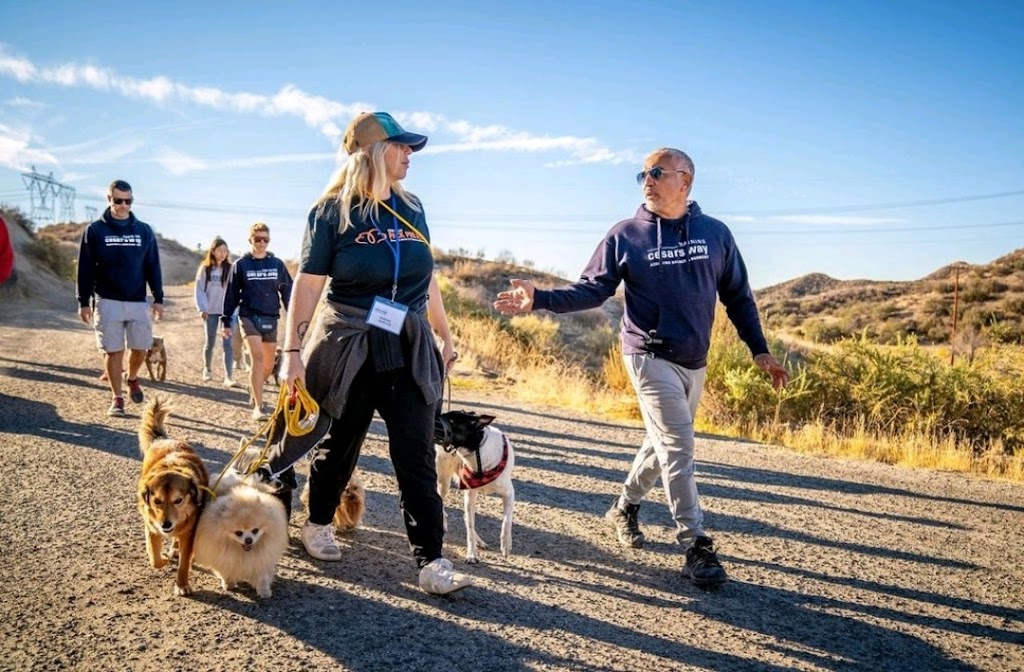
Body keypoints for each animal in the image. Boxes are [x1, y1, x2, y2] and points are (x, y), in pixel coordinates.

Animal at [137, 395, 208, 594]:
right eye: (157, 501)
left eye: (178, 500)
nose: (166, 524)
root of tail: (162, 439)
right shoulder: (151, 526)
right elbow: (154, 558)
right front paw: (163, 560)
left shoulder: (190, 532)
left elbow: (184, 562)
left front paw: (182, 584)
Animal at [434, 411, 516, 565]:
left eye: (452, 421)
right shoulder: (470, 494)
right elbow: (470, 526)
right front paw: (472, 554)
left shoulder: (509, 493)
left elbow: (506, 521)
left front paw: (506, 545)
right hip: (444, 480)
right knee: (442, 502)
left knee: (466, 516)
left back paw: (480, 541)